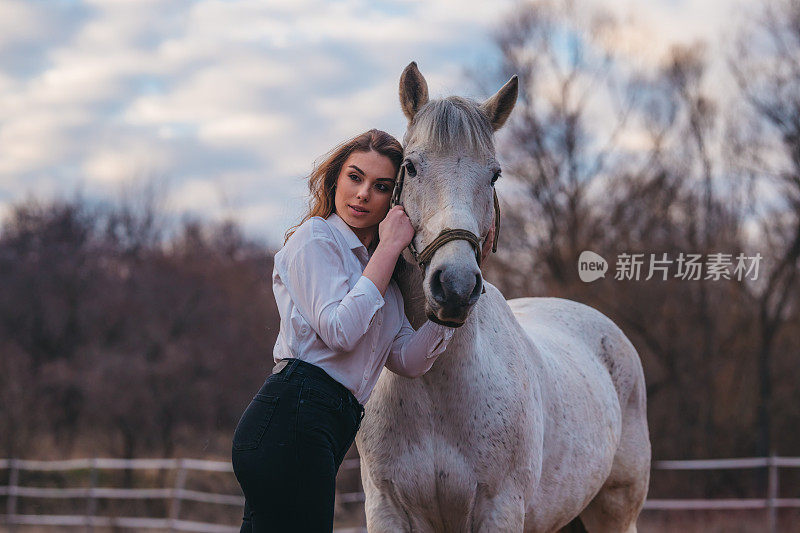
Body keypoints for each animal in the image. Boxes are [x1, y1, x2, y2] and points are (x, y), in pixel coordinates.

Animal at [356, 63, 648, 532]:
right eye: (411, 167)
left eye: (493, 175)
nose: (455, 285)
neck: (433, 392)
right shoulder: (386, 509)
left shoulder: (500, 509)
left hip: (615, 512)